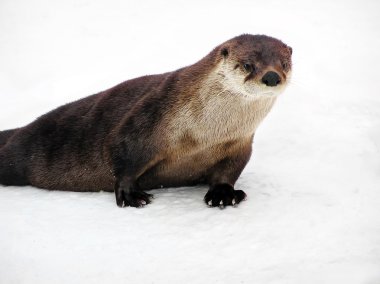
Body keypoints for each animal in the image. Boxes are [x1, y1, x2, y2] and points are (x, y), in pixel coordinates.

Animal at [0, 35, 294, 209]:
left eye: (284, 63)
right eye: (247, 65)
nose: (271, 76)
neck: (206, 134)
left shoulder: (239, 145)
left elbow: (229, 171)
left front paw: (223, 194)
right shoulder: (146, 119)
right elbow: (122, 154)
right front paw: (131, 195)